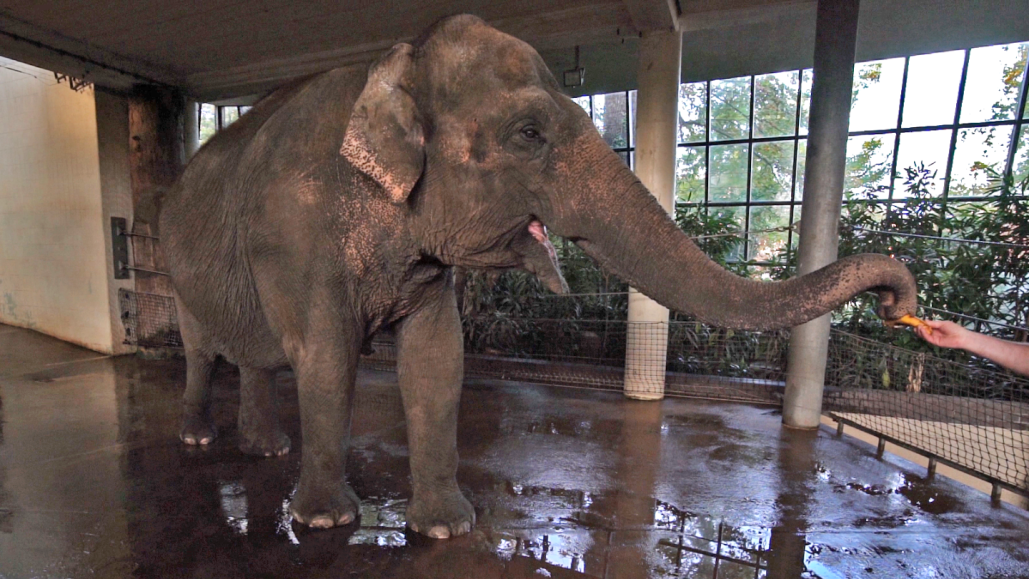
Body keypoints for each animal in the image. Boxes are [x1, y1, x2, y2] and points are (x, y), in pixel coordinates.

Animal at [159, 14, 917, 539]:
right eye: (529, 133)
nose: (895, 301)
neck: (393, 63)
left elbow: (437, 358)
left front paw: (446, 527)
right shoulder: (296, 232)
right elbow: (325, 356)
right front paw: (324, 522)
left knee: (255, 356)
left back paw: (263, 449)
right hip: (177, 267)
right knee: (202, 347)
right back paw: (200, 440)